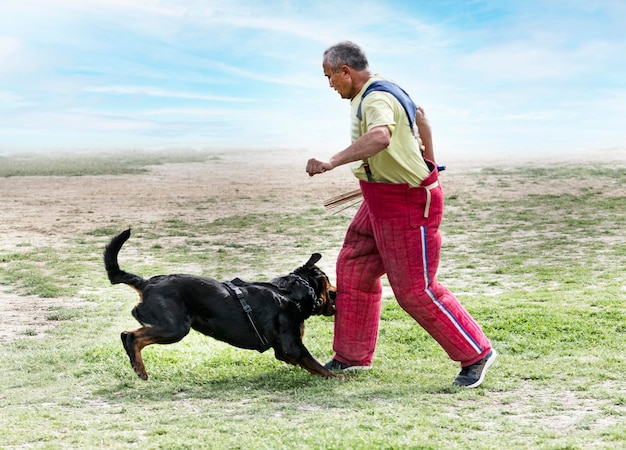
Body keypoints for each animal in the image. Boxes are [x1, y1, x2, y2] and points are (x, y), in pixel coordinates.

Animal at [103, 229, 336, 380]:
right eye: (329, 281)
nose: (336, 290)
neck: (292, 293)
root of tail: (146, 283)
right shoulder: (293, 346)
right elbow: (317, 366)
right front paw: (338, 378)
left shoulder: (283, 351)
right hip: (175, 327)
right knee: (131, 336)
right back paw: (140, 369)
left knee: (128, 335)